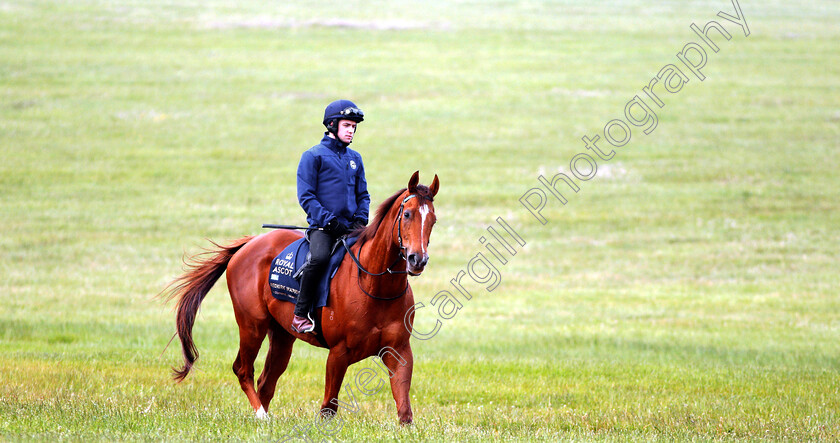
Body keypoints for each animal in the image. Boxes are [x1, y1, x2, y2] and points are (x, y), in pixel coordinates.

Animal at [162, 172, 440, 424]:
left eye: (433, 219)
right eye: (407, 214)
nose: (418, 259)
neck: (376, 286)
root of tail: (248, 245)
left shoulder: (399, 351)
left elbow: (404, 410)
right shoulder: (338, 353)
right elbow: (328, 409)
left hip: (282, 336)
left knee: (266, 382)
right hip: (252, 326)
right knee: (243, 369)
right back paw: (261, 416)